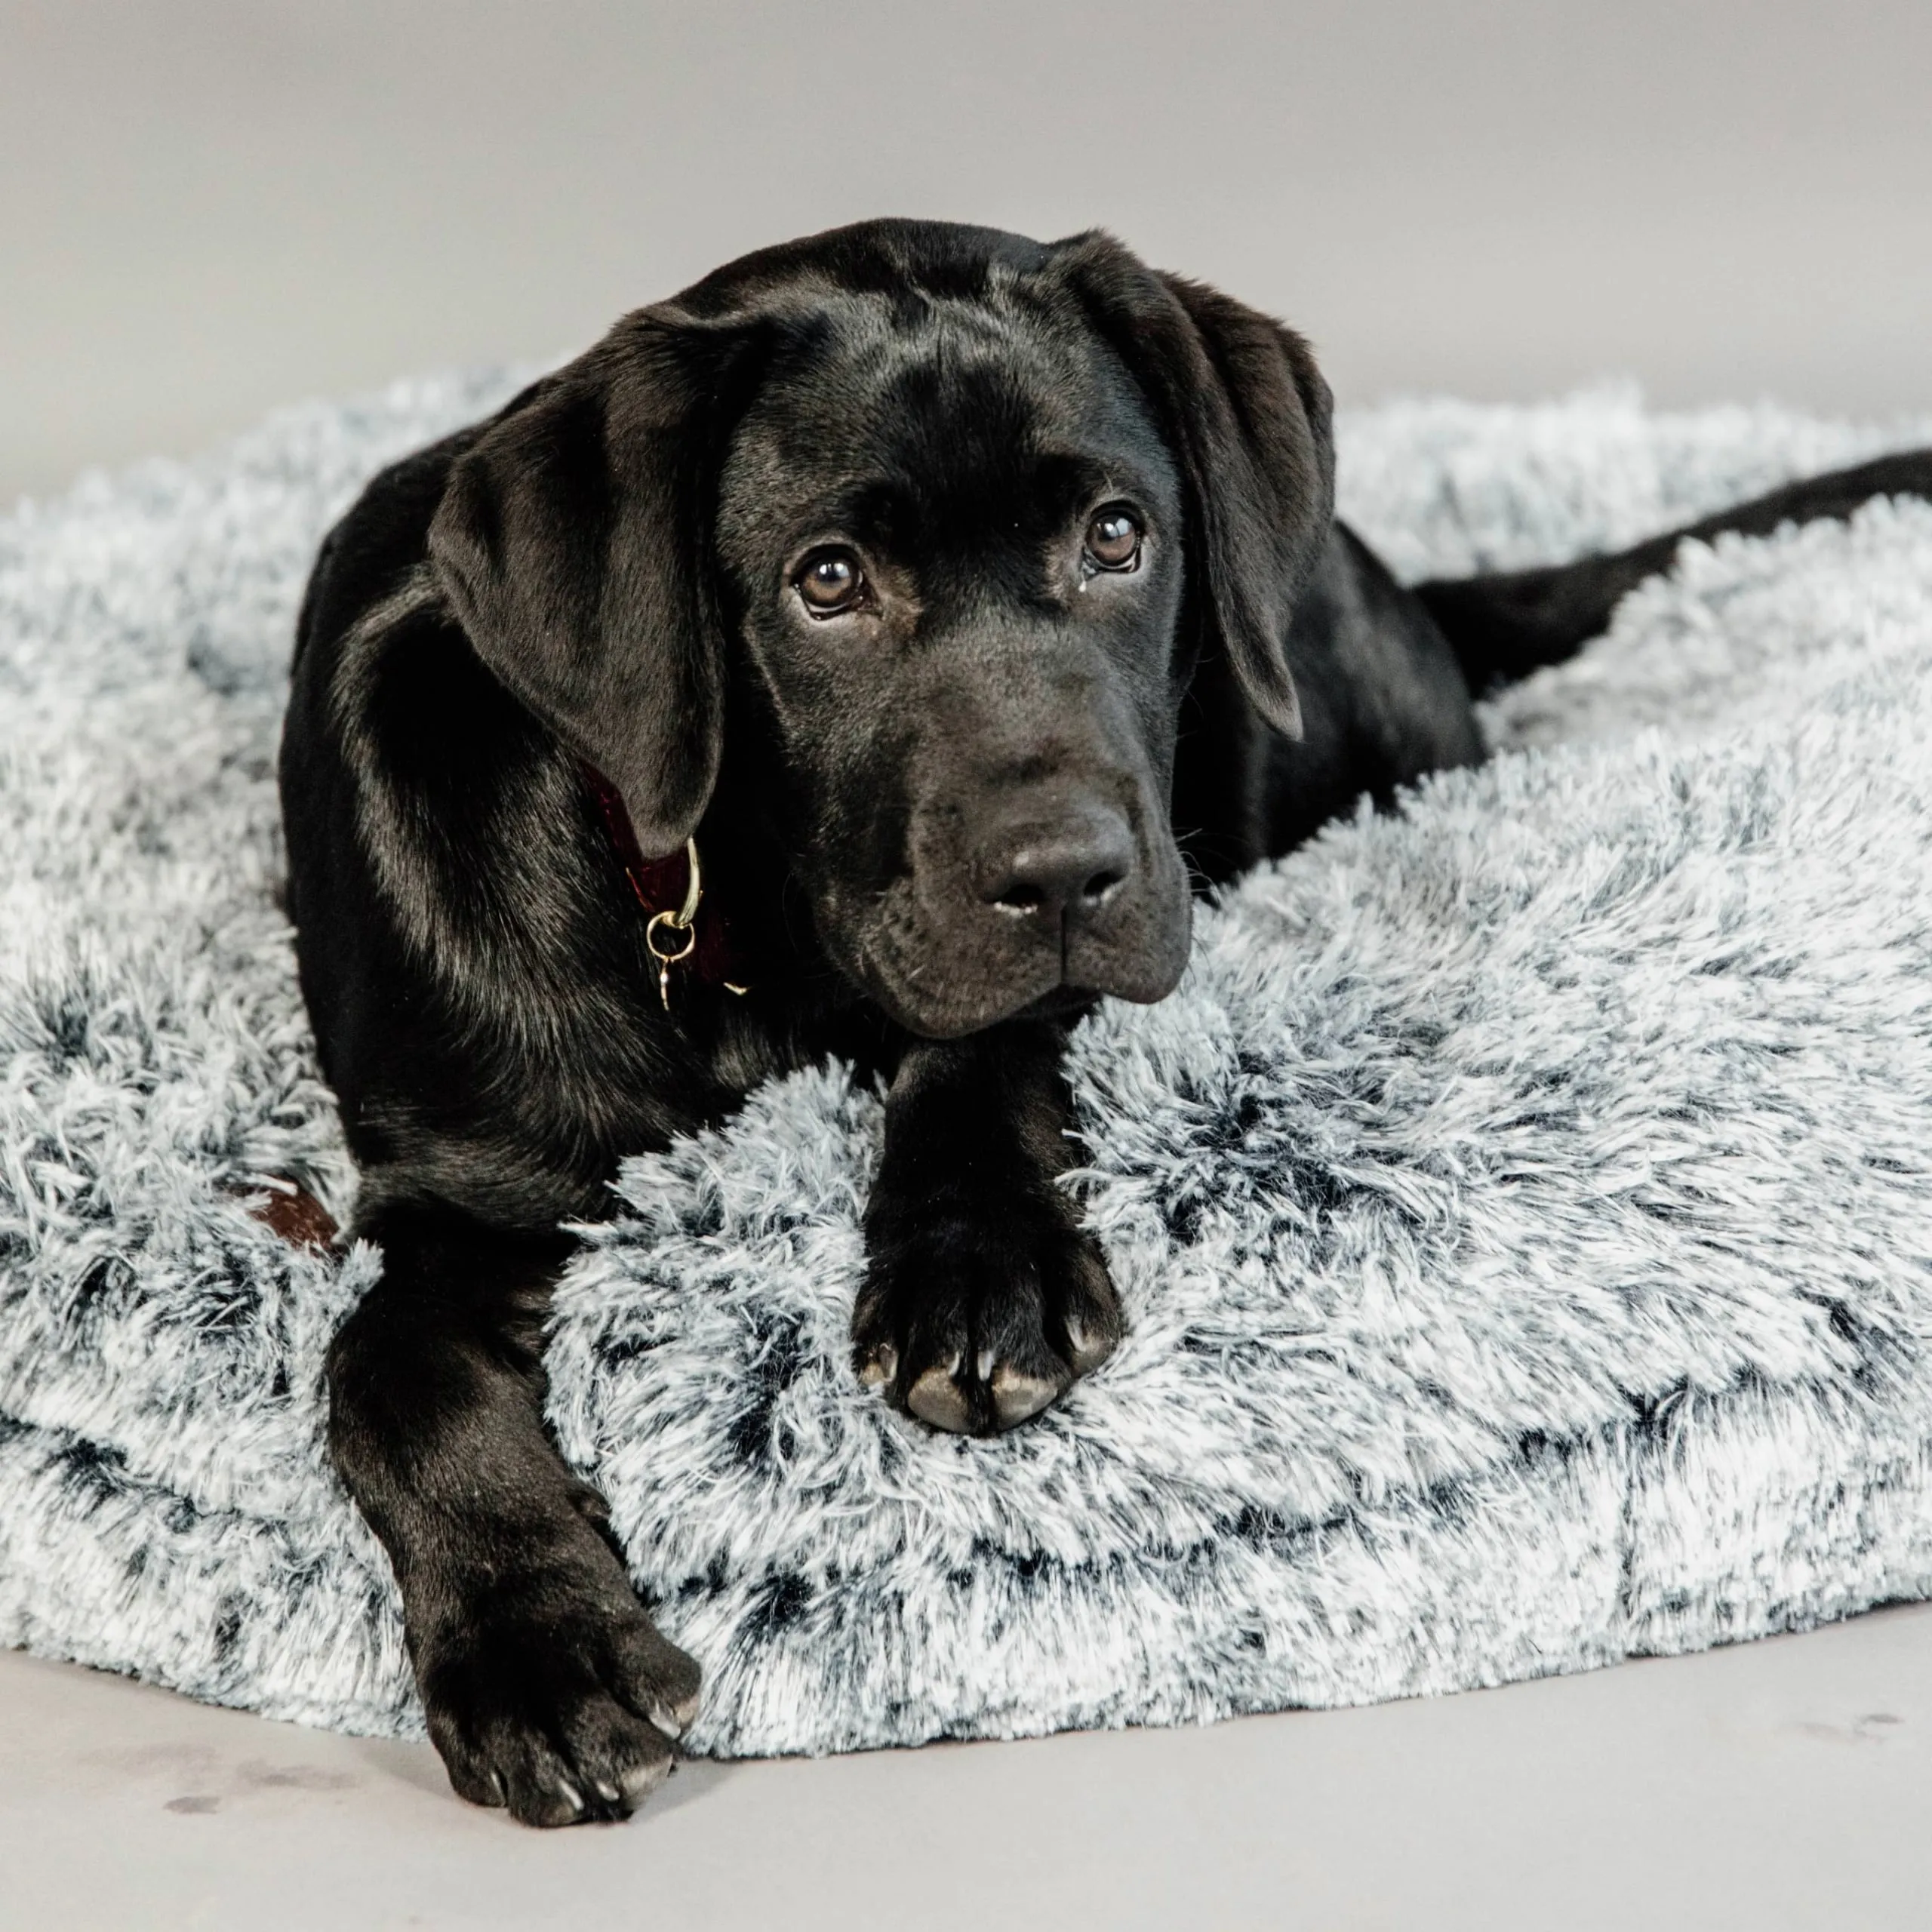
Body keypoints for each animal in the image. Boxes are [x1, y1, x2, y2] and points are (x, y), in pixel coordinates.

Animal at [281, 219, 1932, 1816]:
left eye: (1116, 537)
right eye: (827, 580)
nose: (1068, 874)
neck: (741, 929)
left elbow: (984, 1047)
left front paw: (976, 1263)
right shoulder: (456, 1184)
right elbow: (383, 1366)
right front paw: (533, 1651)